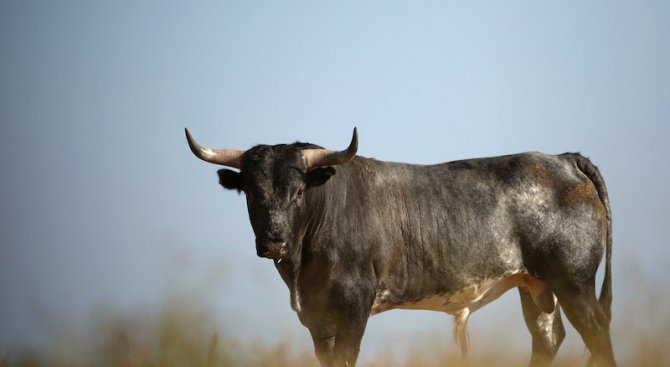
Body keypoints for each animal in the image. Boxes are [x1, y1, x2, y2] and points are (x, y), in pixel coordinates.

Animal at [184, 128, 616, 366]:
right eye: (251, 193)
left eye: (297, 191)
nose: (274, 241)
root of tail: (563, 158)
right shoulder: (317, 319)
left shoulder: (354, 307)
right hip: (537, 285)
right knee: (548, 337)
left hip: (574, 281)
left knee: (596, 331)